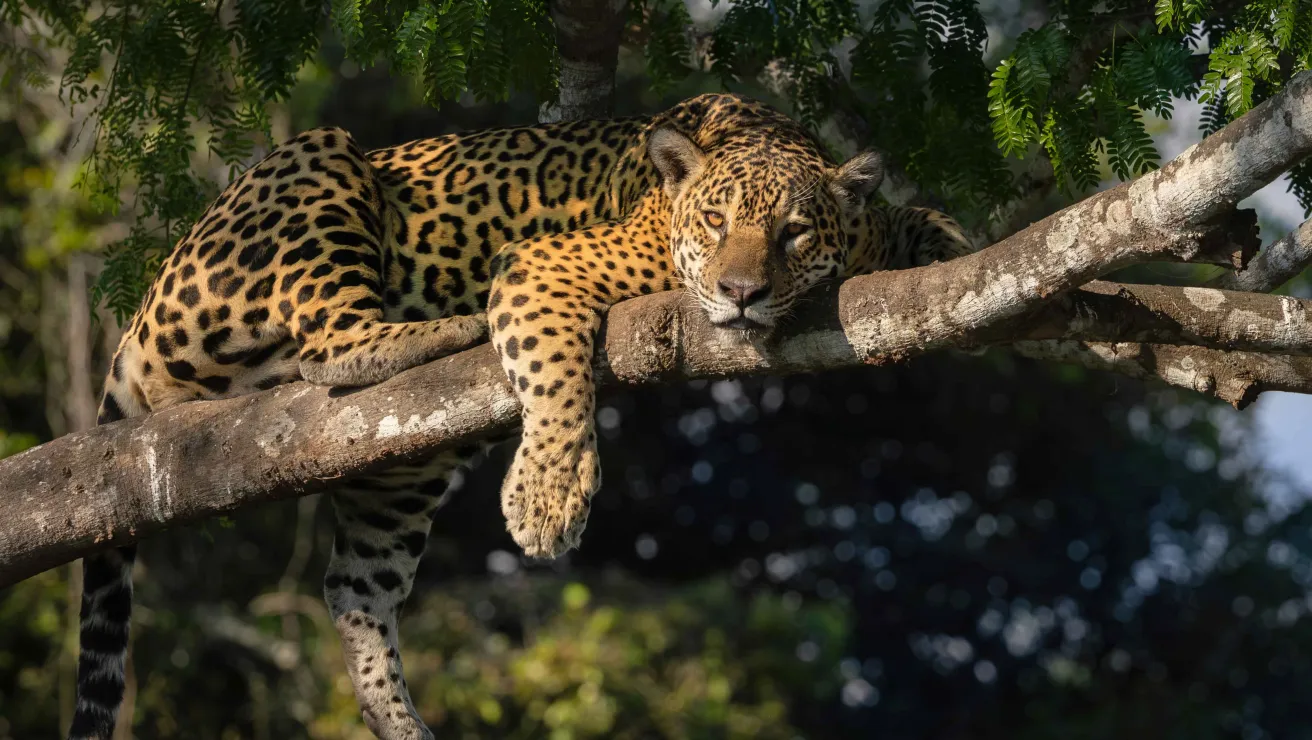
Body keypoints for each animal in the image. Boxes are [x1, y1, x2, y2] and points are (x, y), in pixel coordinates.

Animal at [67, 92, 974, 740]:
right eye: (716, 223)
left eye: (791, 234)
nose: (741, 292)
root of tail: (144, 306)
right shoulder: (546, 266)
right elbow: (554, 375)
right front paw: (548, 495)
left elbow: (931, 224)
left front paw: (961, 258)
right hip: (317, 162)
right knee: (331, 341)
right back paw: (444, 331)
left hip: (404, 468)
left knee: (354, 584)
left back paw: (399, 722)